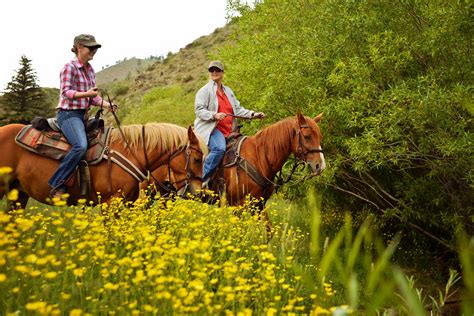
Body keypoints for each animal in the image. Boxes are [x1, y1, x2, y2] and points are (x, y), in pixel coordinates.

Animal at [147, 110, 326, 225]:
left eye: (319, 136)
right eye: (307, 136)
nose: (320, 166)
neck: (259, 158)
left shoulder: (260, 205)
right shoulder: (237, 206)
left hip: (167, 194)